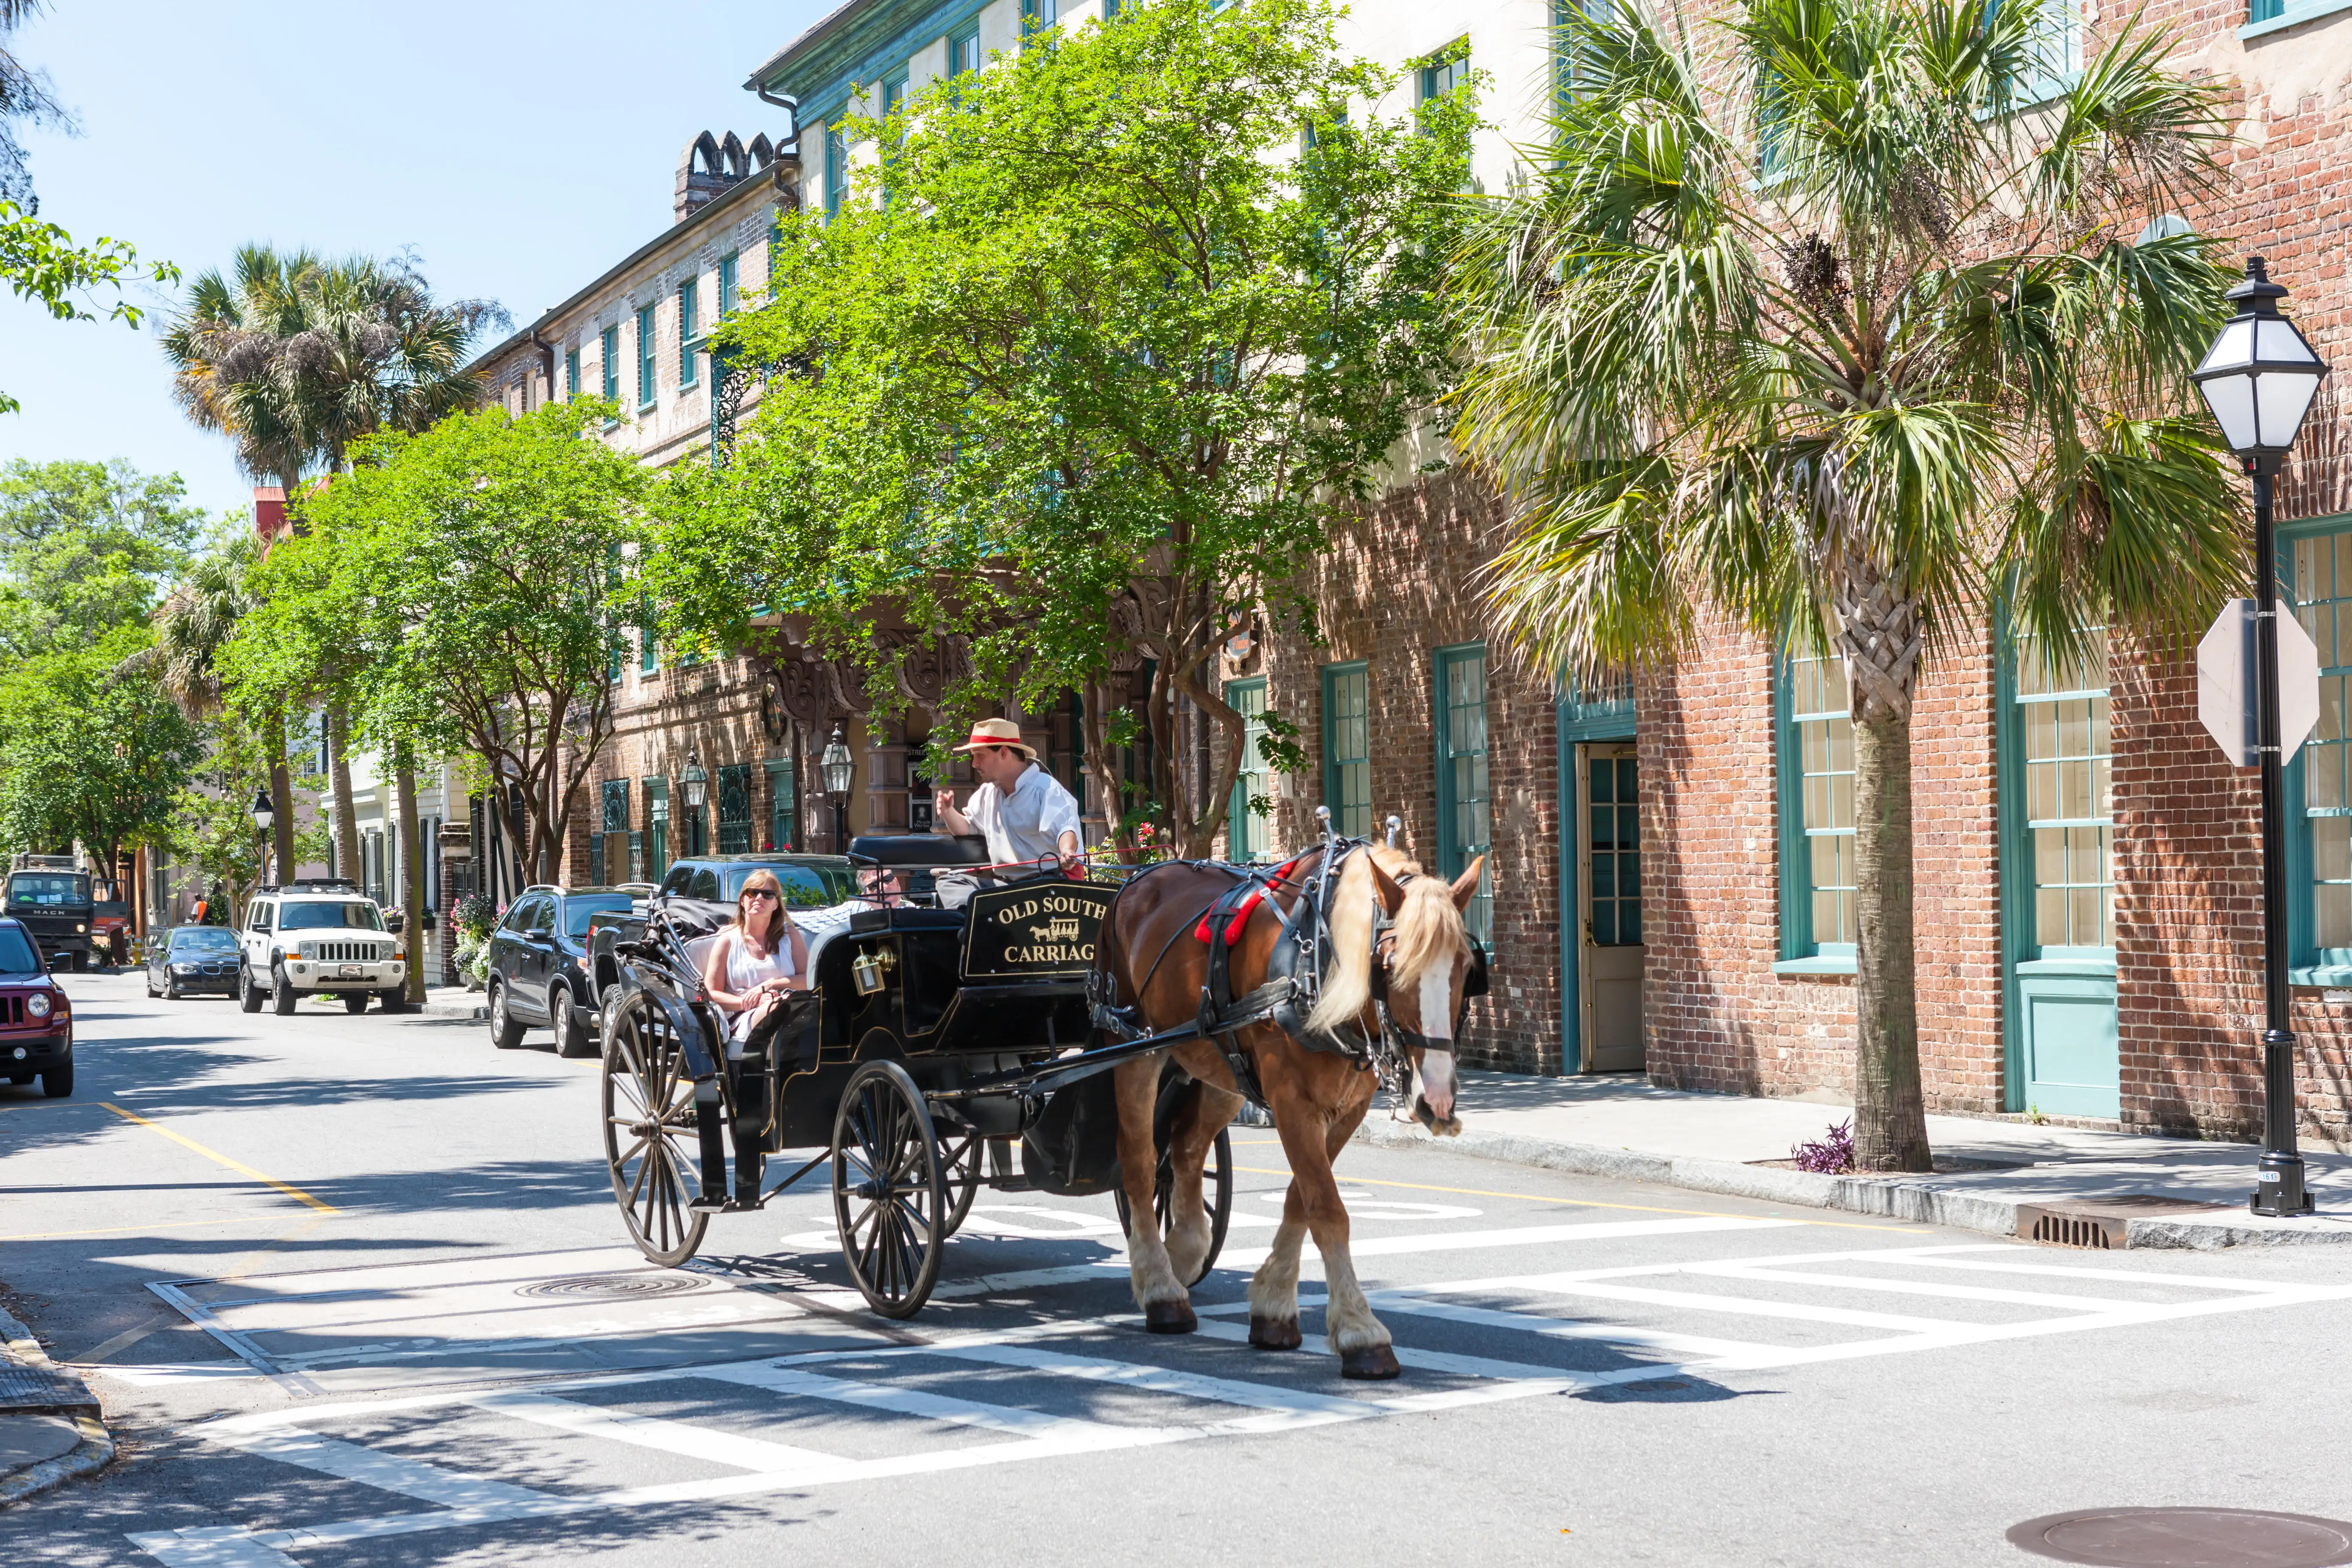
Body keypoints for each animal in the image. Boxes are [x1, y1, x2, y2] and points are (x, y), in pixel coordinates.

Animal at [1105, 846, 1477, 1372]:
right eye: (1390, 966)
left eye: (1466, 967)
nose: (1438, 1101)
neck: (1315, 964)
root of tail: (1140, 875)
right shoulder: (1290, 1101)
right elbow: (1327, 1208)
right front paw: (1361, 1331)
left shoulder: (1346, 1108)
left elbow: (1301, 1200)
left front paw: (1273, 1305)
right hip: (1133, 1046)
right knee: (1139, 1163)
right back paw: (1160, 1287)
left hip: (1223, 1067)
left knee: (1185, 1149)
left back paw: (1184, 1251)